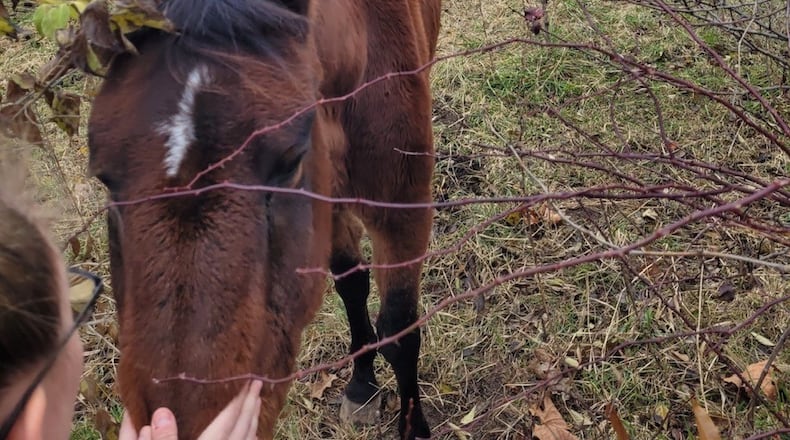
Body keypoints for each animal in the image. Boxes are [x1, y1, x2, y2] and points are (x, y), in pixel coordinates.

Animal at [86, 1, 441, 439]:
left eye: (290, 161)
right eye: (105, 177)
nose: (182, 419)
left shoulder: (402, 209)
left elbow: (399, 329)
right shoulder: (326, 202)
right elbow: (351, 284)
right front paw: (362, 385)